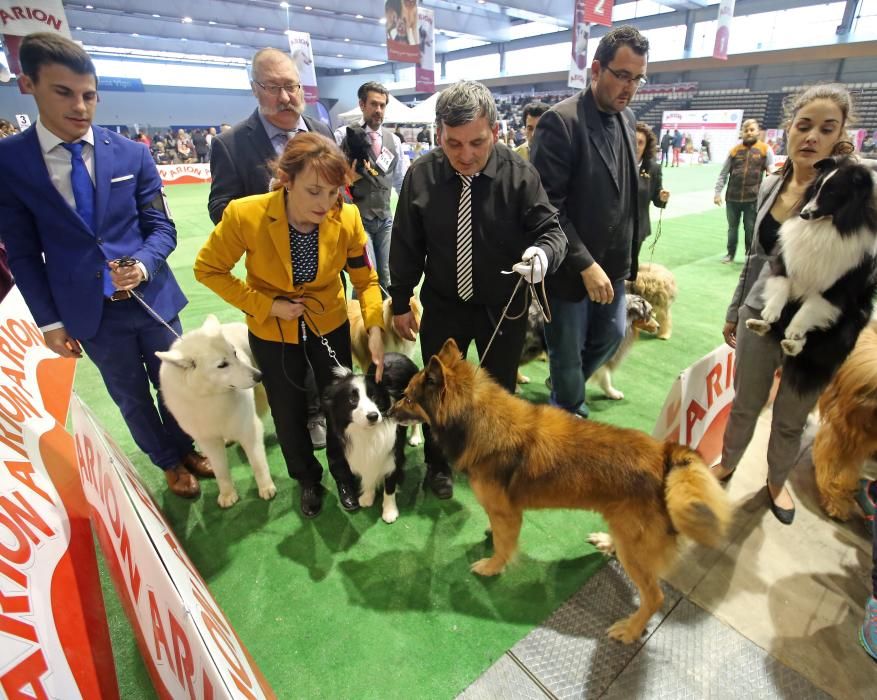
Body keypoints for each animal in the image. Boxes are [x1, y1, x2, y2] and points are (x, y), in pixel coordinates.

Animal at [156, 318, 276, 508]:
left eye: (235, 353)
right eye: (222, 365)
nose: (259, 376)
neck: (210, 397)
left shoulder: (248, 429)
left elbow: (258, 464)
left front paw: (266, 488)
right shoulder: (208, 441)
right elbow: (221, 471)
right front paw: (227, 494)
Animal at [324, 352, 420, 524]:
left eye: (374, 396)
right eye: (352, 399)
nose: (373, 416)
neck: (368, 432)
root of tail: (399, 354)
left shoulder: (393, 455)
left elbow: (390, 485)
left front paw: (389, 511)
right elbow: (367, 473)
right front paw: (367, 497)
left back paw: (415, 437)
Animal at [392, 336, 732, 644]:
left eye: (408, 398)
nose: (388, 411)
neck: (479, 418)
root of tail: (666, 454)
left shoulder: (509, 514)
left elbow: (503, 546)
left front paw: (491, 566)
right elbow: (498, 533)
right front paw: (490, 536)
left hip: (636, 553)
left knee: (655, 598)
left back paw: (631, 629)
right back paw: (608, 543)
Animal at [744, 154, 876, 394]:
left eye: (833, 193)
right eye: (815, 188)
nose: (804, 214)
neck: (824, 228)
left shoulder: (838, 288)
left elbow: (810, 308)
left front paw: (795, 330)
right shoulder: (785, 261)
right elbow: (781, 285)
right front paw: (770, 312)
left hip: (851, 320)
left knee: (813, 341)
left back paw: (791, 342)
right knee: (778, 327)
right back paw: (760, 324)